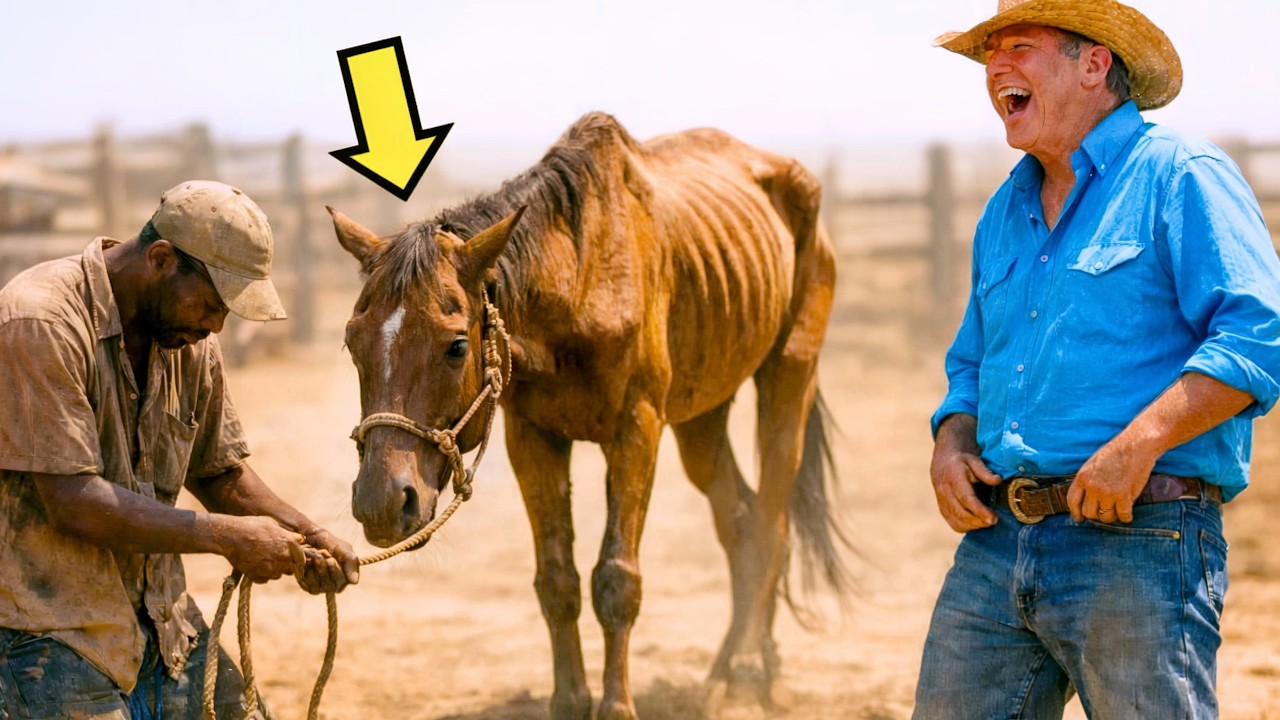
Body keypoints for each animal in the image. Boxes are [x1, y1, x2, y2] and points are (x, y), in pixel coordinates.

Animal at [329, 111, 847, 720]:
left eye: (456, 346)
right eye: (352, 343)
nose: (383, 502)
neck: (578, 278)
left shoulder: (636, 431)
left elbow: (616, 580)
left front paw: (616, 706)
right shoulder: (532, 438)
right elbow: (558, 581)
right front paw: (570, 700)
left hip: (788, 380)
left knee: (771, 522)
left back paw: (744, 672)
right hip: (702, 417)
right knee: (740, 520)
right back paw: (740, 667)